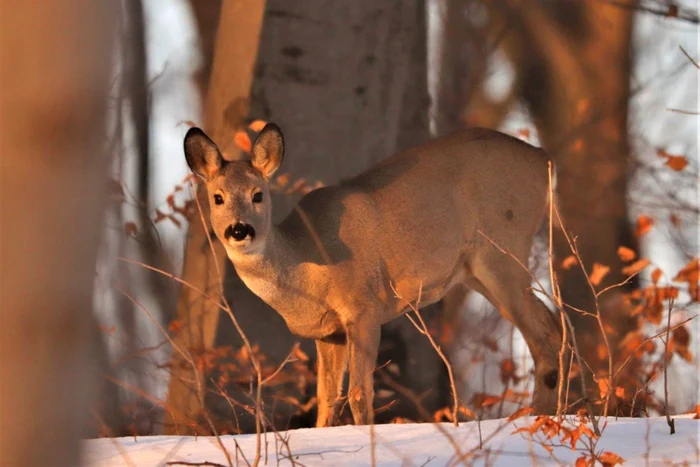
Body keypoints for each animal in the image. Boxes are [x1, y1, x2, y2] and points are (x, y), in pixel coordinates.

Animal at [185, 124, 564, 428]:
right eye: (217, 197)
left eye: (258, 195)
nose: (239, 229)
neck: (308, 262)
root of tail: (543, 158)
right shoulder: (329, 332)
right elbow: (326, 402)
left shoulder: (364, 309)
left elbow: (358, 395)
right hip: (478, 272)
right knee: (554, 328)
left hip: (504, 249)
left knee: (543, 341)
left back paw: (539, 420)